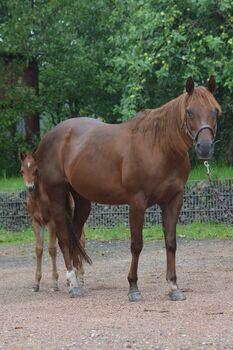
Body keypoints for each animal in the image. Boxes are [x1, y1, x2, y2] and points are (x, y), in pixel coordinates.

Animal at [20, 152, 86, 294]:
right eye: (22, 171)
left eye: (36, 170)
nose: (30, 188)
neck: (38, 198)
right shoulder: (36, 222)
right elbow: (39, 249)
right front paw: (36, 284)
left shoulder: (51, 222)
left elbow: (52, 249)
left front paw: (55, 283)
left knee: (81, 241)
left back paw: (81, 277)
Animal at [35, 77, 221, 300]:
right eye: (190, 111)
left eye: (215, 111)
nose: (205, 148)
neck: (159, 147)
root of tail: (49, 136)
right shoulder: (137, 202)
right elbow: (136, 244)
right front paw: (133, 287)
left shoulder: (174, 200)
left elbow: (171, 242)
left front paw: (174, 286)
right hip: (56, 194)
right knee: (63, 238)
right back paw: (73, 284)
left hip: (81, 199)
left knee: (75, 236)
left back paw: (79, 281)